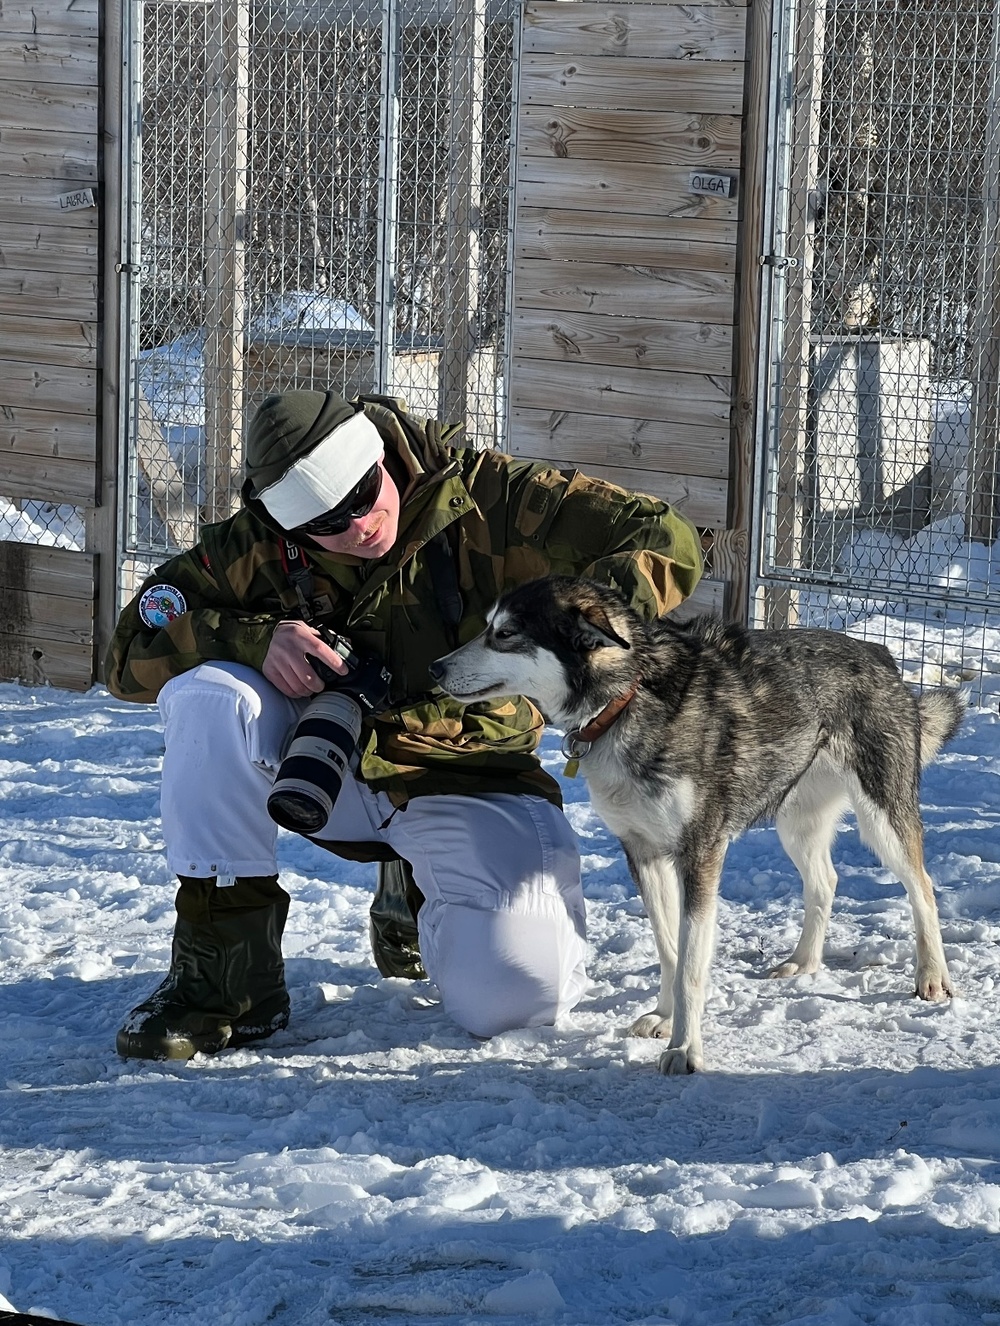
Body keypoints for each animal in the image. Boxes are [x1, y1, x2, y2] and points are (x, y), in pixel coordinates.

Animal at [427, 575, 960, 1071]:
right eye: (488, 625)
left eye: (506, 633)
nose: (434, 667)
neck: (626, 700)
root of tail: (880, 653)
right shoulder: (643, 852)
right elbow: (668, 948)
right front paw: (665, 1019)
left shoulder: (700, 854)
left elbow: (689, 964)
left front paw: (685, 1048)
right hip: (796, 822)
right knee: (825, 881)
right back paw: (803, 962)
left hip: (881, 817)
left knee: (922, 885)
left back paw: (932, 975)